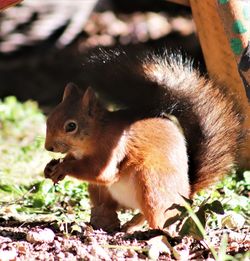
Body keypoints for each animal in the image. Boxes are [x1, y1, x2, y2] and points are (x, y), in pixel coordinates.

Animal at [44, 47, 243, 231]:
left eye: (71, 126)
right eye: (49, 117)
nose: (48, 148)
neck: (97, 133)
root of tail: (185, 195)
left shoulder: (111, 149)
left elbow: (101, 173)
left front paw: (63, 167)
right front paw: (50, 168)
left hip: (151, 183)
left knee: (156, 215)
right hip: (100, 191)